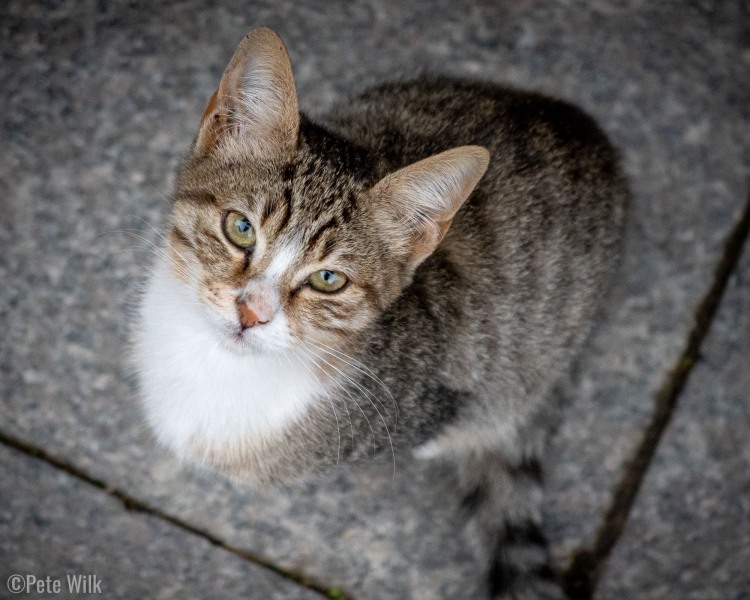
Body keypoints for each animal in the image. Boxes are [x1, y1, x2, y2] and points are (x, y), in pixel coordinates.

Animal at [134, 27, 628, 600]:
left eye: (329, 280)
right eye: (240, 228)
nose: (251, 312)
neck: (215, 367)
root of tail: (592, 137)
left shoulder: (437, 394)